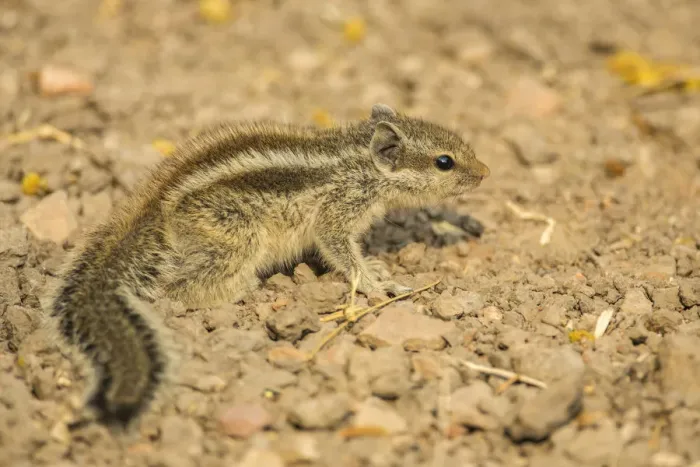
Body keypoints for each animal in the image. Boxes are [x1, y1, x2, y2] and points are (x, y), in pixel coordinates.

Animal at [50, 103, 490, 429]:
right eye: (445, 162)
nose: (486, 172)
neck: (359, 161)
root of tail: (156, 210)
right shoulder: (336, 214)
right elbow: (340, 250)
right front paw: (377, 282)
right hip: (240, 236)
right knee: (180, 288)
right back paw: (246, 288)